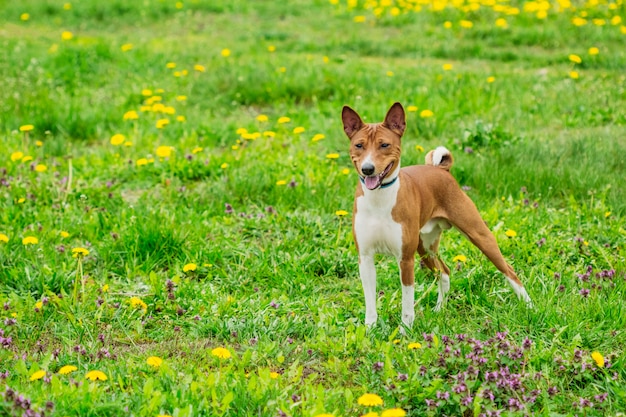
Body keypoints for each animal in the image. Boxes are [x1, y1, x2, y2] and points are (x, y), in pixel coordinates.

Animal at [342, 101, 532, 328]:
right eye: (359, 145)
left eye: (384, 145)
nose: (368, 169)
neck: (379, 200)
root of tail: (441, 170)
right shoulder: (366, 258)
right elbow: (370, 304)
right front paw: (370, 330)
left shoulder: (405, 259)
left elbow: (407, 305)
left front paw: (405, 330)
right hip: (425, 247)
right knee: (445, 272)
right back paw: (440, 309)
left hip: (479, 235)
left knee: (509, 271)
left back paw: (529, 306)